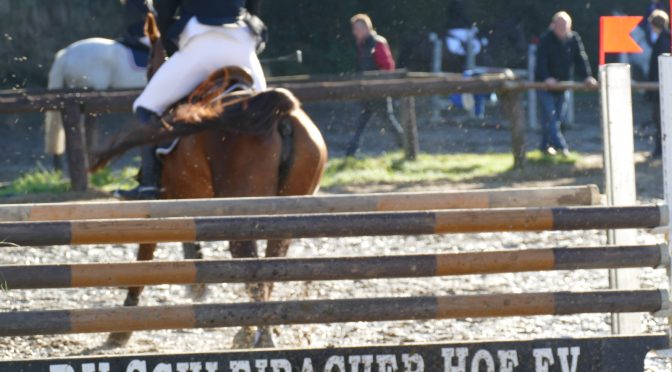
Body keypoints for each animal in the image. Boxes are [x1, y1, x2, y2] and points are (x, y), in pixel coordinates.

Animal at [99, 13, 328, 348]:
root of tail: (281, 115)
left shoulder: (162, 202)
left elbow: (146, 254)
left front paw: (122, 327)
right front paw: (197, 285)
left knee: (252, 269)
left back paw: (254, 335)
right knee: (271, 267)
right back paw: (256, 332)